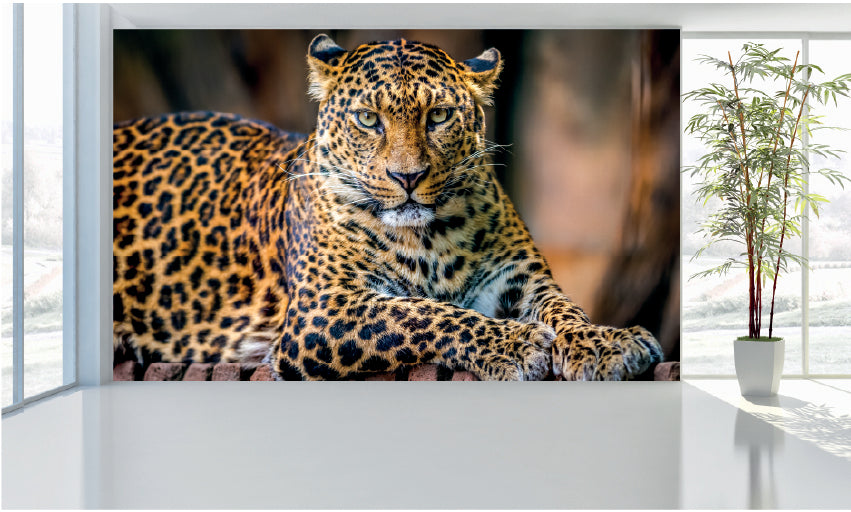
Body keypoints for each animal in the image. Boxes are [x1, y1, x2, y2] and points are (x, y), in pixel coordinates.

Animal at [112, 34, 664, 381]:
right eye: (367, 119)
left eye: (438, 116)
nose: (408, 177)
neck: (431, 238)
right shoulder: (321, 310)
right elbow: (423, 314)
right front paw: (516, 344)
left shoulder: (518, 278)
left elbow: (564, 308)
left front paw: (605, 343)